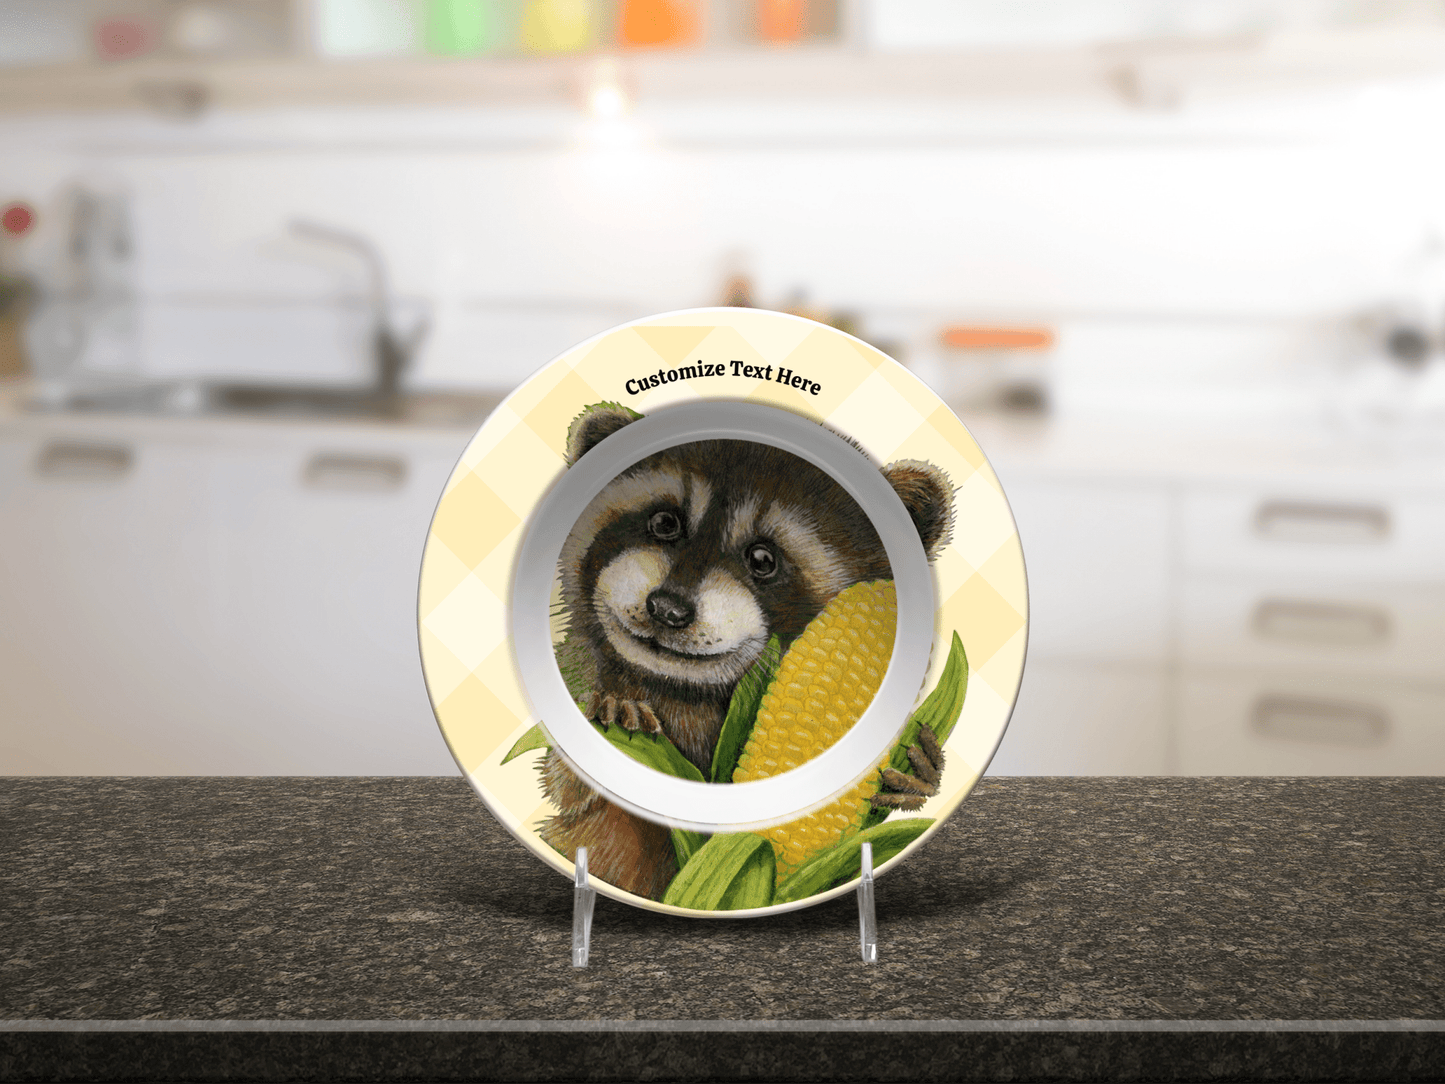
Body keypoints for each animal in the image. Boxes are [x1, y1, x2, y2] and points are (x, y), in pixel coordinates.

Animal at [539, 403, 955, 900]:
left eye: (762, 559)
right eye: (664, 523)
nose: (667, 610)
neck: (684, 687)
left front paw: (919, 771)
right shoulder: (578, 671)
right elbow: (572, 787)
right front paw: (606, 722)